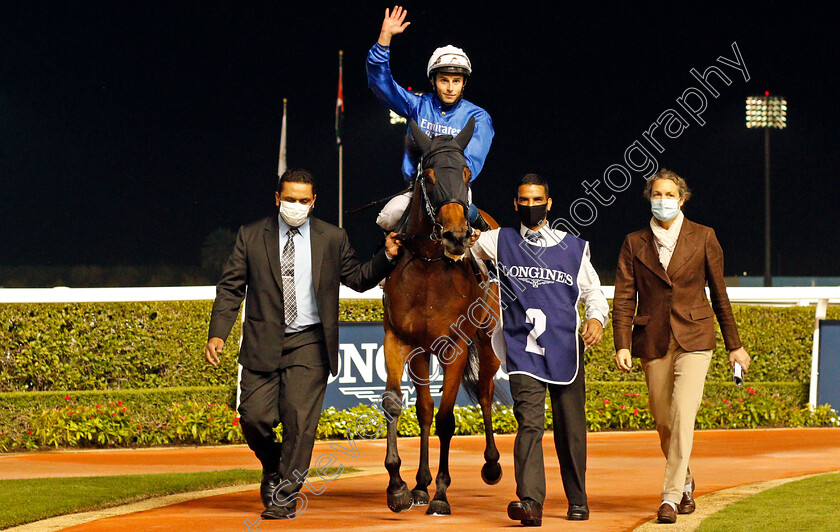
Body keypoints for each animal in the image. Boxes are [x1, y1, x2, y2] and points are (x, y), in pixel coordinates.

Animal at [382, 117, 506, 516]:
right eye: (430, 175)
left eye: (466, 172)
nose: (456, 236)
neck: (429, 267)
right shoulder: (399, 340)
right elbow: (399, 404)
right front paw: (400, 486)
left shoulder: (456, 346)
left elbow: (447, 418)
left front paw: (440, 494)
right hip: (423, 353)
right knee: (423, 408)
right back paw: (420, 484)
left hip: (488, 341)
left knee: (484, 391)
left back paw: (492, 464)